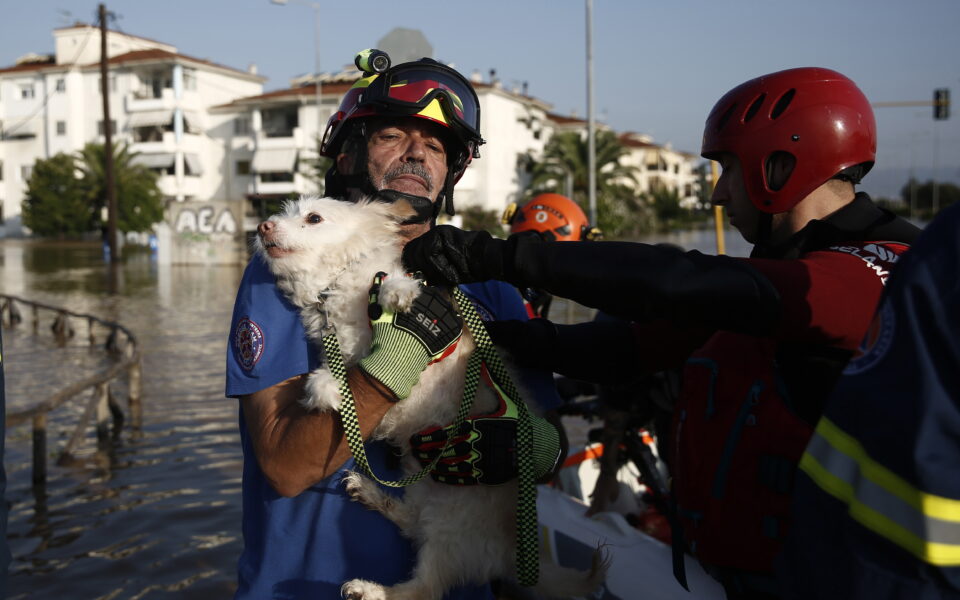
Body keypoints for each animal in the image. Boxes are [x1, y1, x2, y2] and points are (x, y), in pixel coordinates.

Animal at [251, 197, 604, 600]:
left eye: (314, 218)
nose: (262, 227)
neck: (334, 285)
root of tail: (508, 550)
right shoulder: (343, 347)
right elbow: (343, 369)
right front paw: (325, 387)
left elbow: (394, 288)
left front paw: (398, 293)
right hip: (427, 496)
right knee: (412, 529)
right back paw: (371, 496)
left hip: (449, 529)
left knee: (423, 588)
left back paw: (370, 590)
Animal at [404, 69, 924, 596]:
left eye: (728, 172)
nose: (717, 196)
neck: (822, 230)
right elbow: (635, 342)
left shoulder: (822, 284)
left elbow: (726, 284)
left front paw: (478, 250)